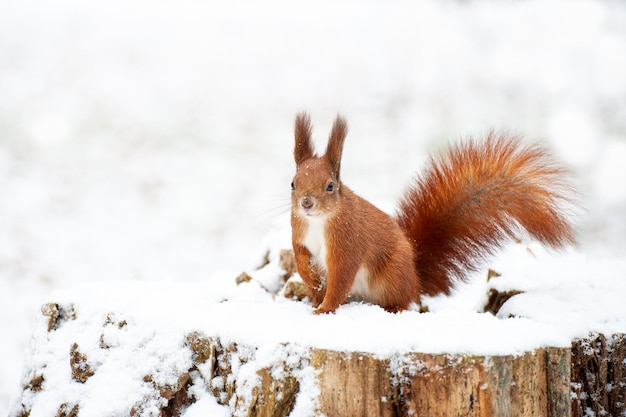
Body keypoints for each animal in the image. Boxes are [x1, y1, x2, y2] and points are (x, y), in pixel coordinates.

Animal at [290, 112, 572, 314]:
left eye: (330, 186)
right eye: (293, 183)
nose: (306, 203)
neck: (318, 222)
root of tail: (416, 279)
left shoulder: (348, 241)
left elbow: (341, 277)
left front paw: (324, 309)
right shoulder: (299, 234)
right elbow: (301, 259)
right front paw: (312, 286)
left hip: (392, 275)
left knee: (403, 300)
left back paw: (394, 307)